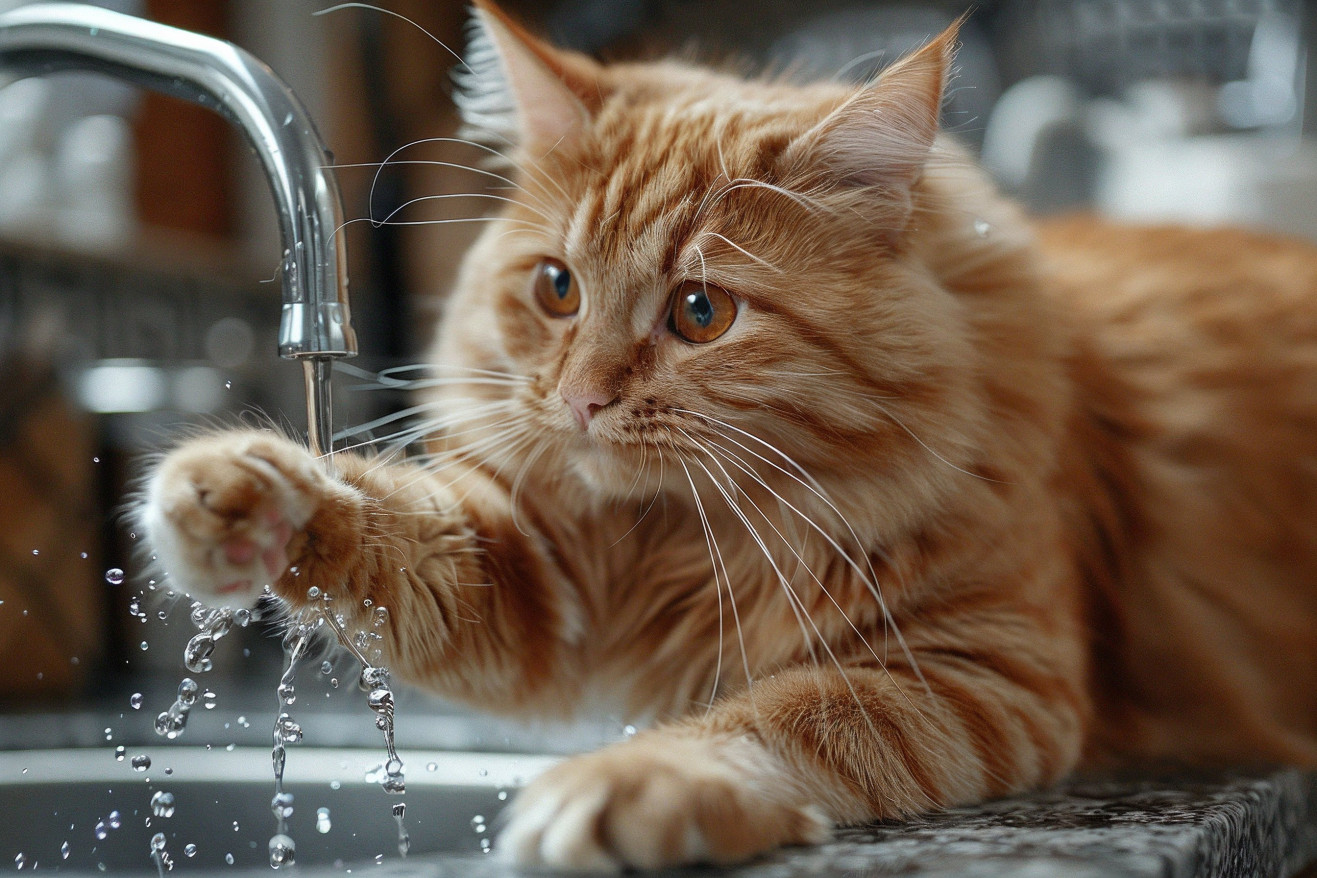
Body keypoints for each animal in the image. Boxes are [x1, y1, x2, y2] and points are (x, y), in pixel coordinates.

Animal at [138, 1, 1317, 874]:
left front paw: (642, 779)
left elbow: (791, 718)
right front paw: (247, 495)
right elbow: (392, 534)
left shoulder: (982, 663)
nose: (581, 400)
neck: (681, 536)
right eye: (556, 289)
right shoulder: (537, 576)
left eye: (701, 313)